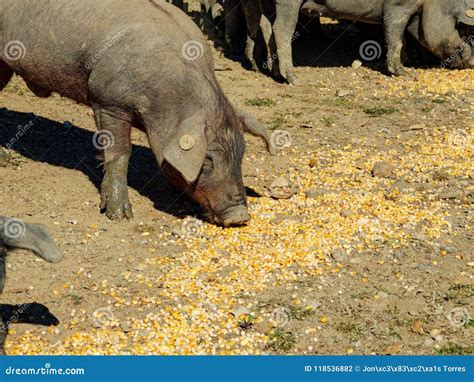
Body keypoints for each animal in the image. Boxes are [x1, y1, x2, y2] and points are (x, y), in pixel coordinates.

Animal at [0, 0, 276, 225]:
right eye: (208, 159)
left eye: (241, 154)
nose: (239, 216)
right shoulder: (108, 102)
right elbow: (120, 153)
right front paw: (119, 215)